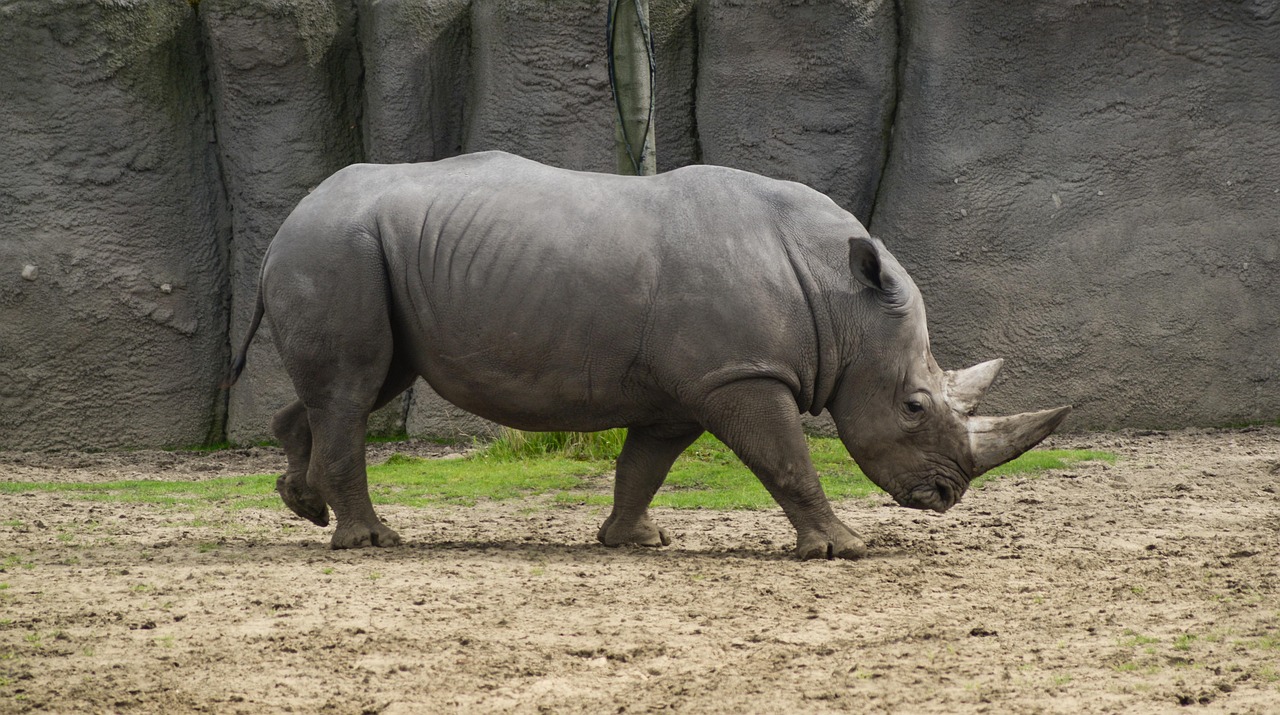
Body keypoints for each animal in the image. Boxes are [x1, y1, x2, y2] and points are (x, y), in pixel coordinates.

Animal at [227, 151, 1070, 560]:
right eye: (914, 404)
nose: (946, 495)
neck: (841, 298)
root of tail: (287, 220)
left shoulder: (689, 385)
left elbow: (645, 465)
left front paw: (633, 540)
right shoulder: (738, 373)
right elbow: (788, 460)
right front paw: (844, 549)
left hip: (359, 252)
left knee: (364, 383)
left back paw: (303, 504)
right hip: (335, 248)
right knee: (354, 386)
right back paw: (371, 542)